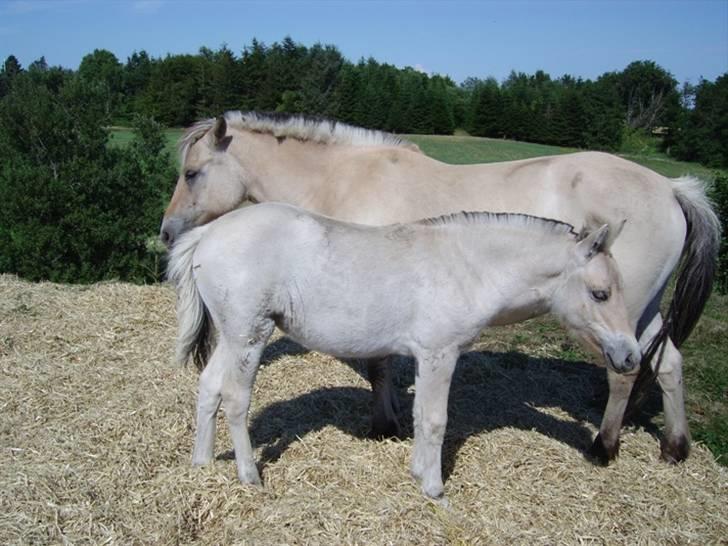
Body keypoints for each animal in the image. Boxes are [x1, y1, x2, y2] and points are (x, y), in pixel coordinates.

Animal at [156, 110, 720, 464]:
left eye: (193, 172)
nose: (166, 232)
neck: (346, 176)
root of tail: (671, 187)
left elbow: (379, 366)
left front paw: (385, 423)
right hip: (640, 310)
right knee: (667, 363)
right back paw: (674, 448)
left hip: (627, 307)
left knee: (625, 372)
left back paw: (603, 447)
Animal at [168, 201, 640, 498]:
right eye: (600, 293)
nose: (630, 356)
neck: (467, 266)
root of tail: (208, 232)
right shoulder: (438, 354)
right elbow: (433, 420)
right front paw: (433, 488)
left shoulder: (424, 358)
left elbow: (417, 415)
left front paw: (418, 473)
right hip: (250, 335)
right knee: (235, 398)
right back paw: (249, 476)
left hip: (232, 336)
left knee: (209, 387)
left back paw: (202, 464)